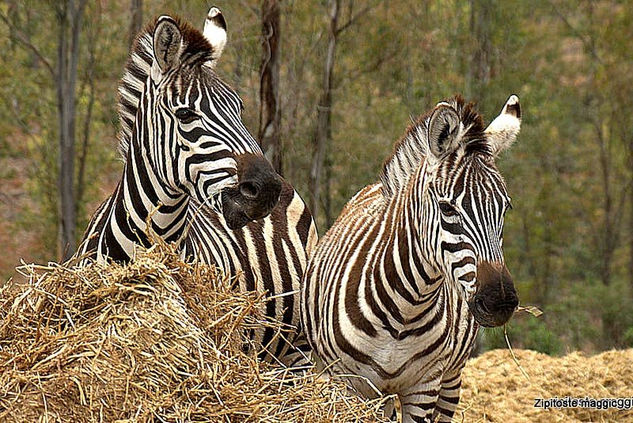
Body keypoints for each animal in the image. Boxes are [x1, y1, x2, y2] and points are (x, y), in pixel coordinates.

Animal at [300, 94, 520, 422]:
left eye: (505, 208)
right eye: (447, 208)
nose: (500, 302)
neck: (405, 311)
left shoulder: (425, 385)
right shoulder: (349, 384)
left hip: (451, 377)